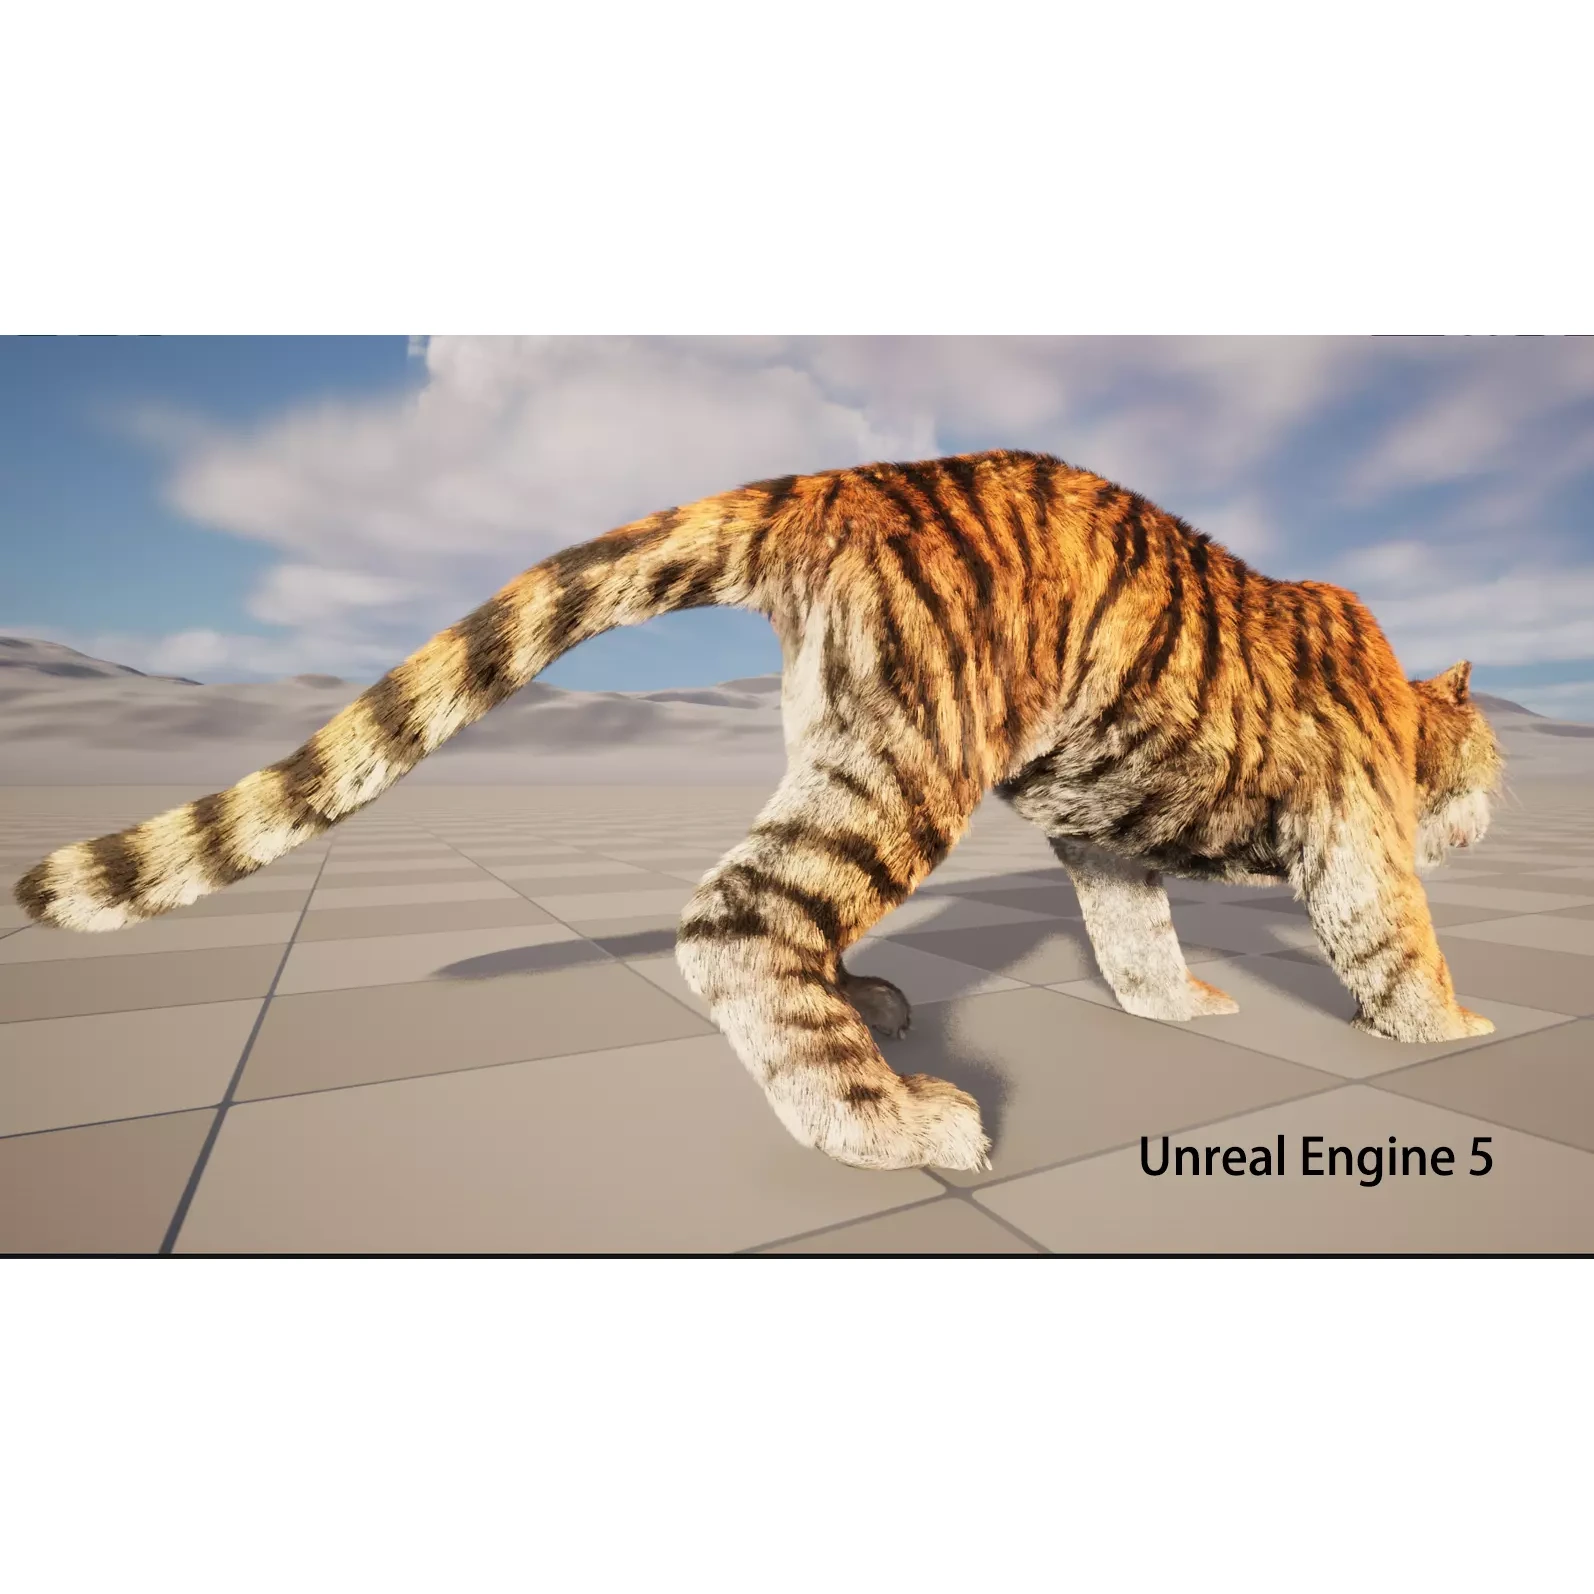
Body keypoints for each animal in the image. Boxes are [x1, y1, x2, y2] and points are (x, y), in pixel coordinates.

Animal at [13, 449, 1505, 1174]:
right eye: (1489, 768)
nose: (1492, 810)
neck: (1408, 706)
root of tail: (857, 476)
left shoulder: (1100, 830)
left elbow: (1133, 932)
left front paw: (1172, 1003)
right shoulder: (1356, 831)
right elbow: (1395, 938)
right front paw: (1457, 1030)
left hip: (839, 737)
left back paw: (873, 1007)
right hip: (912, 754)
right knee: (740, 915)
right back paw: (885, 1121)